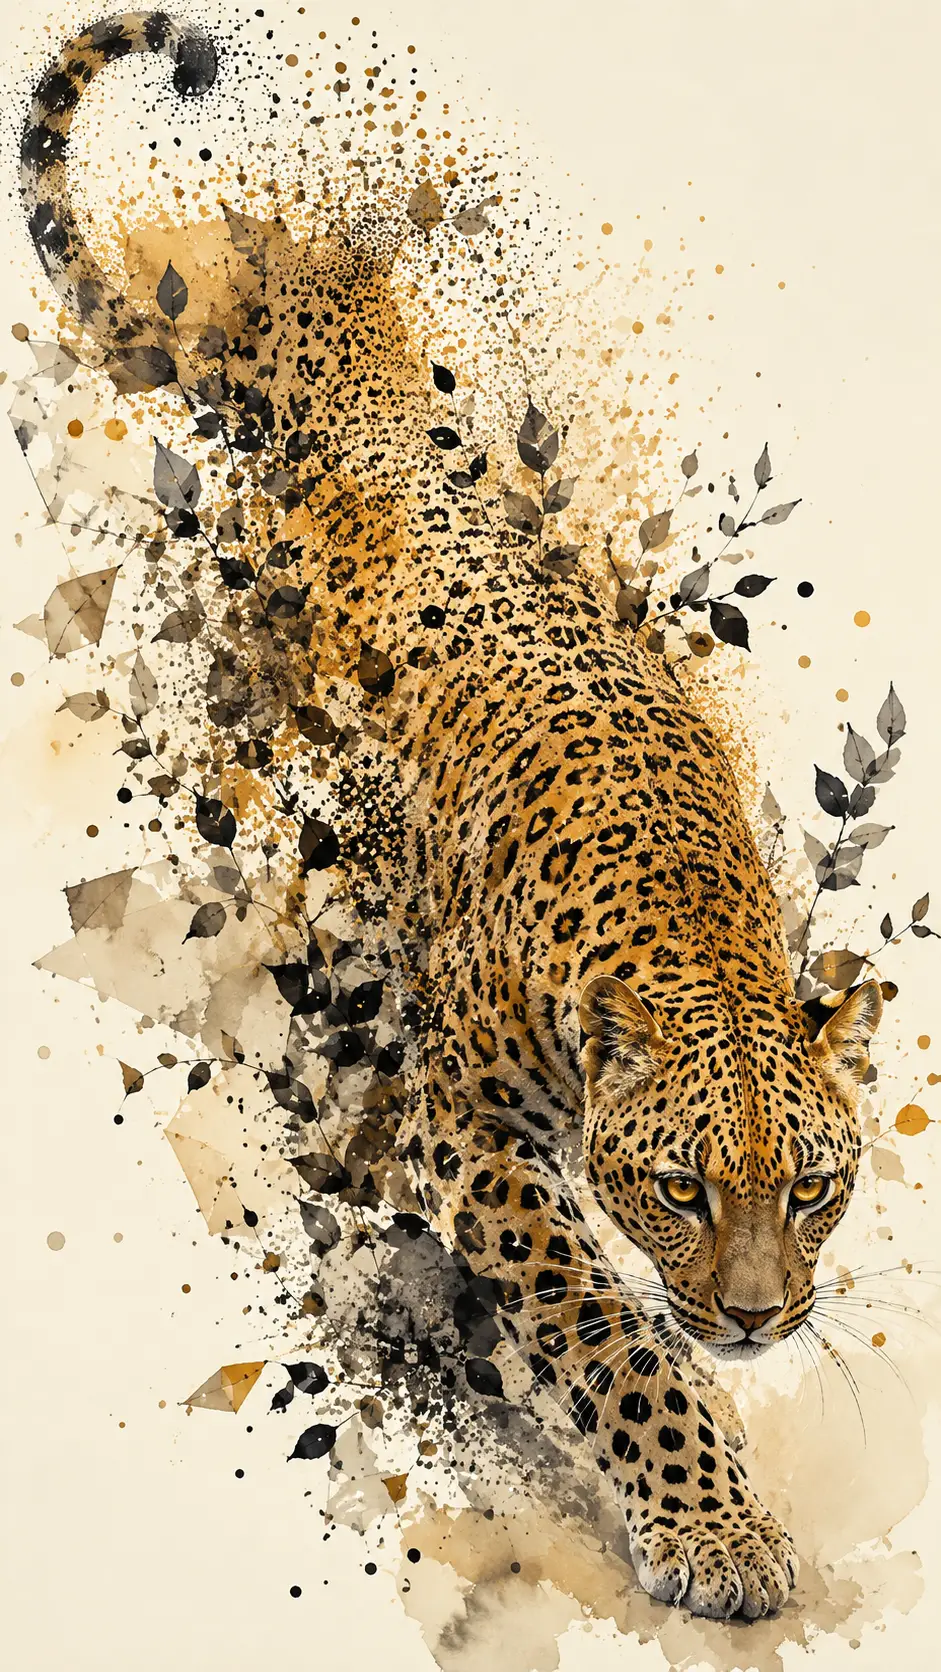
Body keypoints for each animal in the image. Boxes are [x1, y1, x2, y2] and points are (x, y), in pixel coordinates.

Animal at [20, 11, 884, 1621]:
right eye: (678, 1188)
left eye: (809, 1188)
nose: (755, 1319)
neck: (687, 912)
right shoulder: (475, 1128)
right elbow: (615, 1337)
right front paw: (716, 1528)